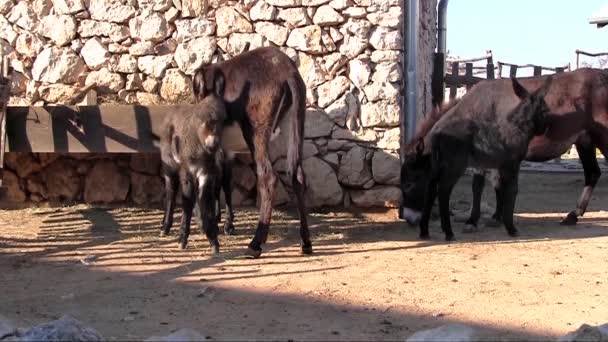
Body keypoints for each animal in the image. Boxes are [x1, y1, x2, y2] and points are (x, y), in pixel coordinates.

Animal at [154, 95, 235, 252]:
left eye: (223, 120)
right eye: (202, 121)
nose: (214, 145)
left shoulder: (207, 172)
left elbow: (205, 198)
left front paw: (213, 238)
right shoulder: (188, 172)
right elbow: (187, 202)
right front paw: (183, 239)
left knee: (223, 189)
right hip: (170, 167)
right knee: (171, 193)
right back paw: (165, 227)